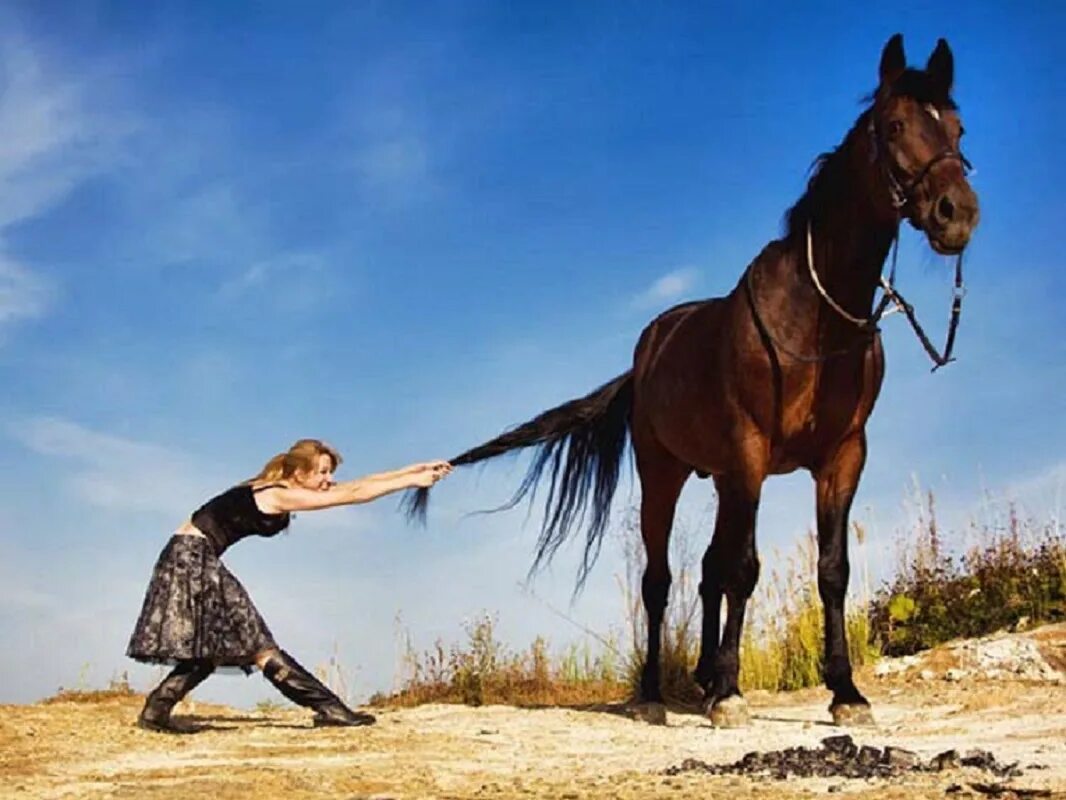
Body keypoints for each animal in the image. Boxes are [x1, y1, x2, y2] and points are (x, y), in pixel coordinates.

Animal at [405, 36, 976, 725]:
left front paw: (844, 692)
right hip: (667, 474)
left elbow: (828, 570)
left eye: (958, 128)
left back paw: (701, 675)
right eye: (894, 126)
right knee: (662, 581)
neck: (814, 319)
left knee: (707, 571)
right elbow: (744, 569)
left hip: (723, 479)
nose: (957, 214)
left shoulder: (842, 457)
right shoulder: (751, 454)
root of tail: (644, 359)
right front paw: (729, 692)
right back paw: (657, 690)